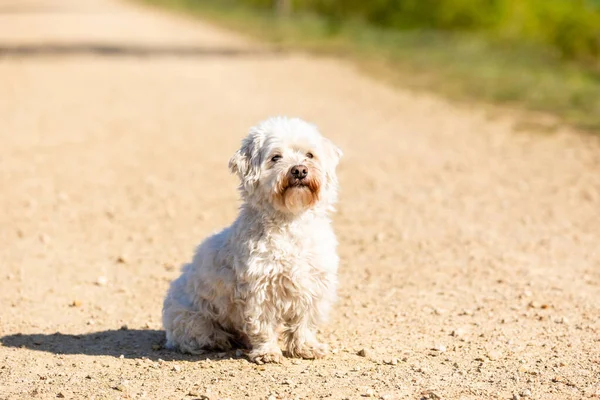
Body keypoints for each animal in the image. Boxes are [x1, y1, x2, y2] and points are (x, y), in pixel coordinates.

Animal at [162, 115, 342, 362]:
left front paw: (307, 347)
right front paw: (267, 352)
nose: (299, 170)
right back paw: (221, 340)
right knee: (194, 337)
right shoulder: (259, 288)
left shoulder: (312, 284)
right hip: (189, 318)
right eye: (275, 157)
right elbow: (262, 324)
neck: (290, 221)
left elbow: (304, 322)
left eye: (309, 155)